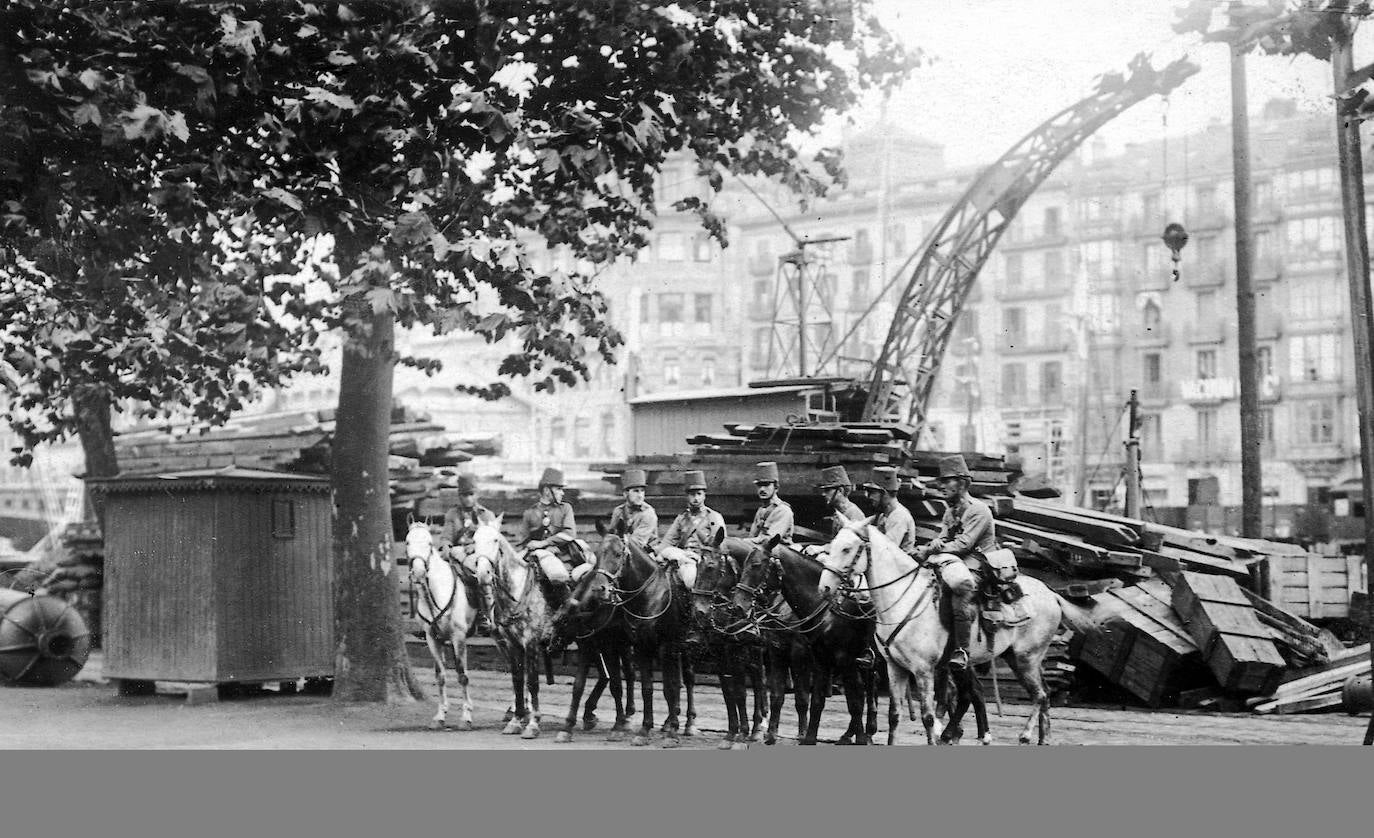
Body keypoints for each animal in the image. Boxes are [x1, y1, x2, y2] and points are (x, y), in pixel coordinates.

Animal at [401, 519, 494, 725]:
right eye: (407, 542)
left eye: (429, 543)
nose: (418, 572)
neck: (437, 592)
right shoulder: (432, 639)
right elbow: (440, 675)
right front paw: (441, 714)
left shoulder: (458, 638)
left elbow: (462, 675)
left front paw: (466, 714)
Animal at [467, 519, 557, 741]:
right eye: (474, 540)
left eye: (495, 539)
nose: (483, 574)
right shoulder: (512, 644)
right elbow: (517, 680)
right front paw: (516, 721)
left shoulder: (531, 643)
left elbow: (532, 682)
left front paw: (533, 724)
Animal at [574, 527, 697, 741]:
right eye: (597, 554)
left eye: (617, 554)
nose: (599, 589)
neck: (651, 595)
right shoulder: (635, 646)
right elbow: (642, 686)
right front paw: (640, 726)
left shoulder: (664, 646)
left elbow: (668, 687)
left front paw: (672, 729)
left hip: (683, 644)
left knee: (687, 678)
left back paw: (688, 722)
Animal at [730, 541, 879, 741]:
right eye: (744, 565)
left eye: (756, 565)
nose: (738, 605)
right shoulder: (780, 652)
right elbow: (779, 695)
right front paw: (772, 734)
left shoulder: (805, 656)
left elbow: (806, 698)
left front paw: (801, 734)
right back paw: (853, 733)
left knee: (869, 688)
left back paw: (867, 730)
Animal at [818, 522, 1099, 741]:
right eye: (832, 545)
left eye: (847, 548)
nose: (825, 588)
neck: (903, 598)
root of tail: (1052, 593)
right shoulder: (894, 668)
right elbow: (895, 715)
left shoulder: (923, 670)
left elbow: (928, 717)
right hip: (1019, 659)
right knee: (1044, 695)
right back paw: (1043, 738)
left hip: (1025, 659)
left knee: (1039, 696)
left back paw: (1024, 736)